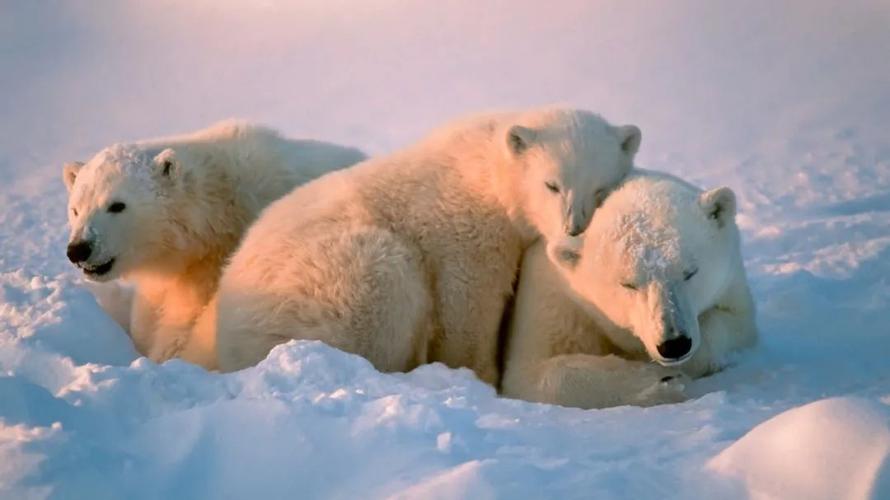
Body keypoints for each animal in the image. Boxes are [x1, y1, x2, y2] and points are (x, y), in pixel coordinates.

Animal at [206, 107, 643, 384]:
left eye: (601, 189)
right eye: (551, 184)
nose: (574, 228)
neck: (488, 170)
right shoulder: (466, 229)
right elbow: (469, 303)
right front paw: (479, 375)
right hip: (331, 282)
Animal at [501, 170, 758, 408]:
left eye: (690, 272)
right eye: (628, 284)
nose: (674, 344)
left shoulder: (731, 281)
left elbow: (736, 324)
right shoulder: (554, 302)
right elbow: (531, 374)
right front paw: (661, 382)